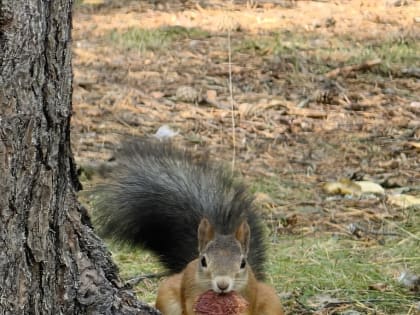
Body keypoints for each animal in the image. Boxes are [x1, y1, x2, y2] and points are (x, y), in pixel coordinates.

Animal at [94, 141, 284, 315]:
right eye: (204, 261)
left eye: (243, 263)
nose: (222, 284)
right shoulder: (190, 290)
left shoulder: (248, 295)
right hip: (167, 294)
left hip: (271, 301)